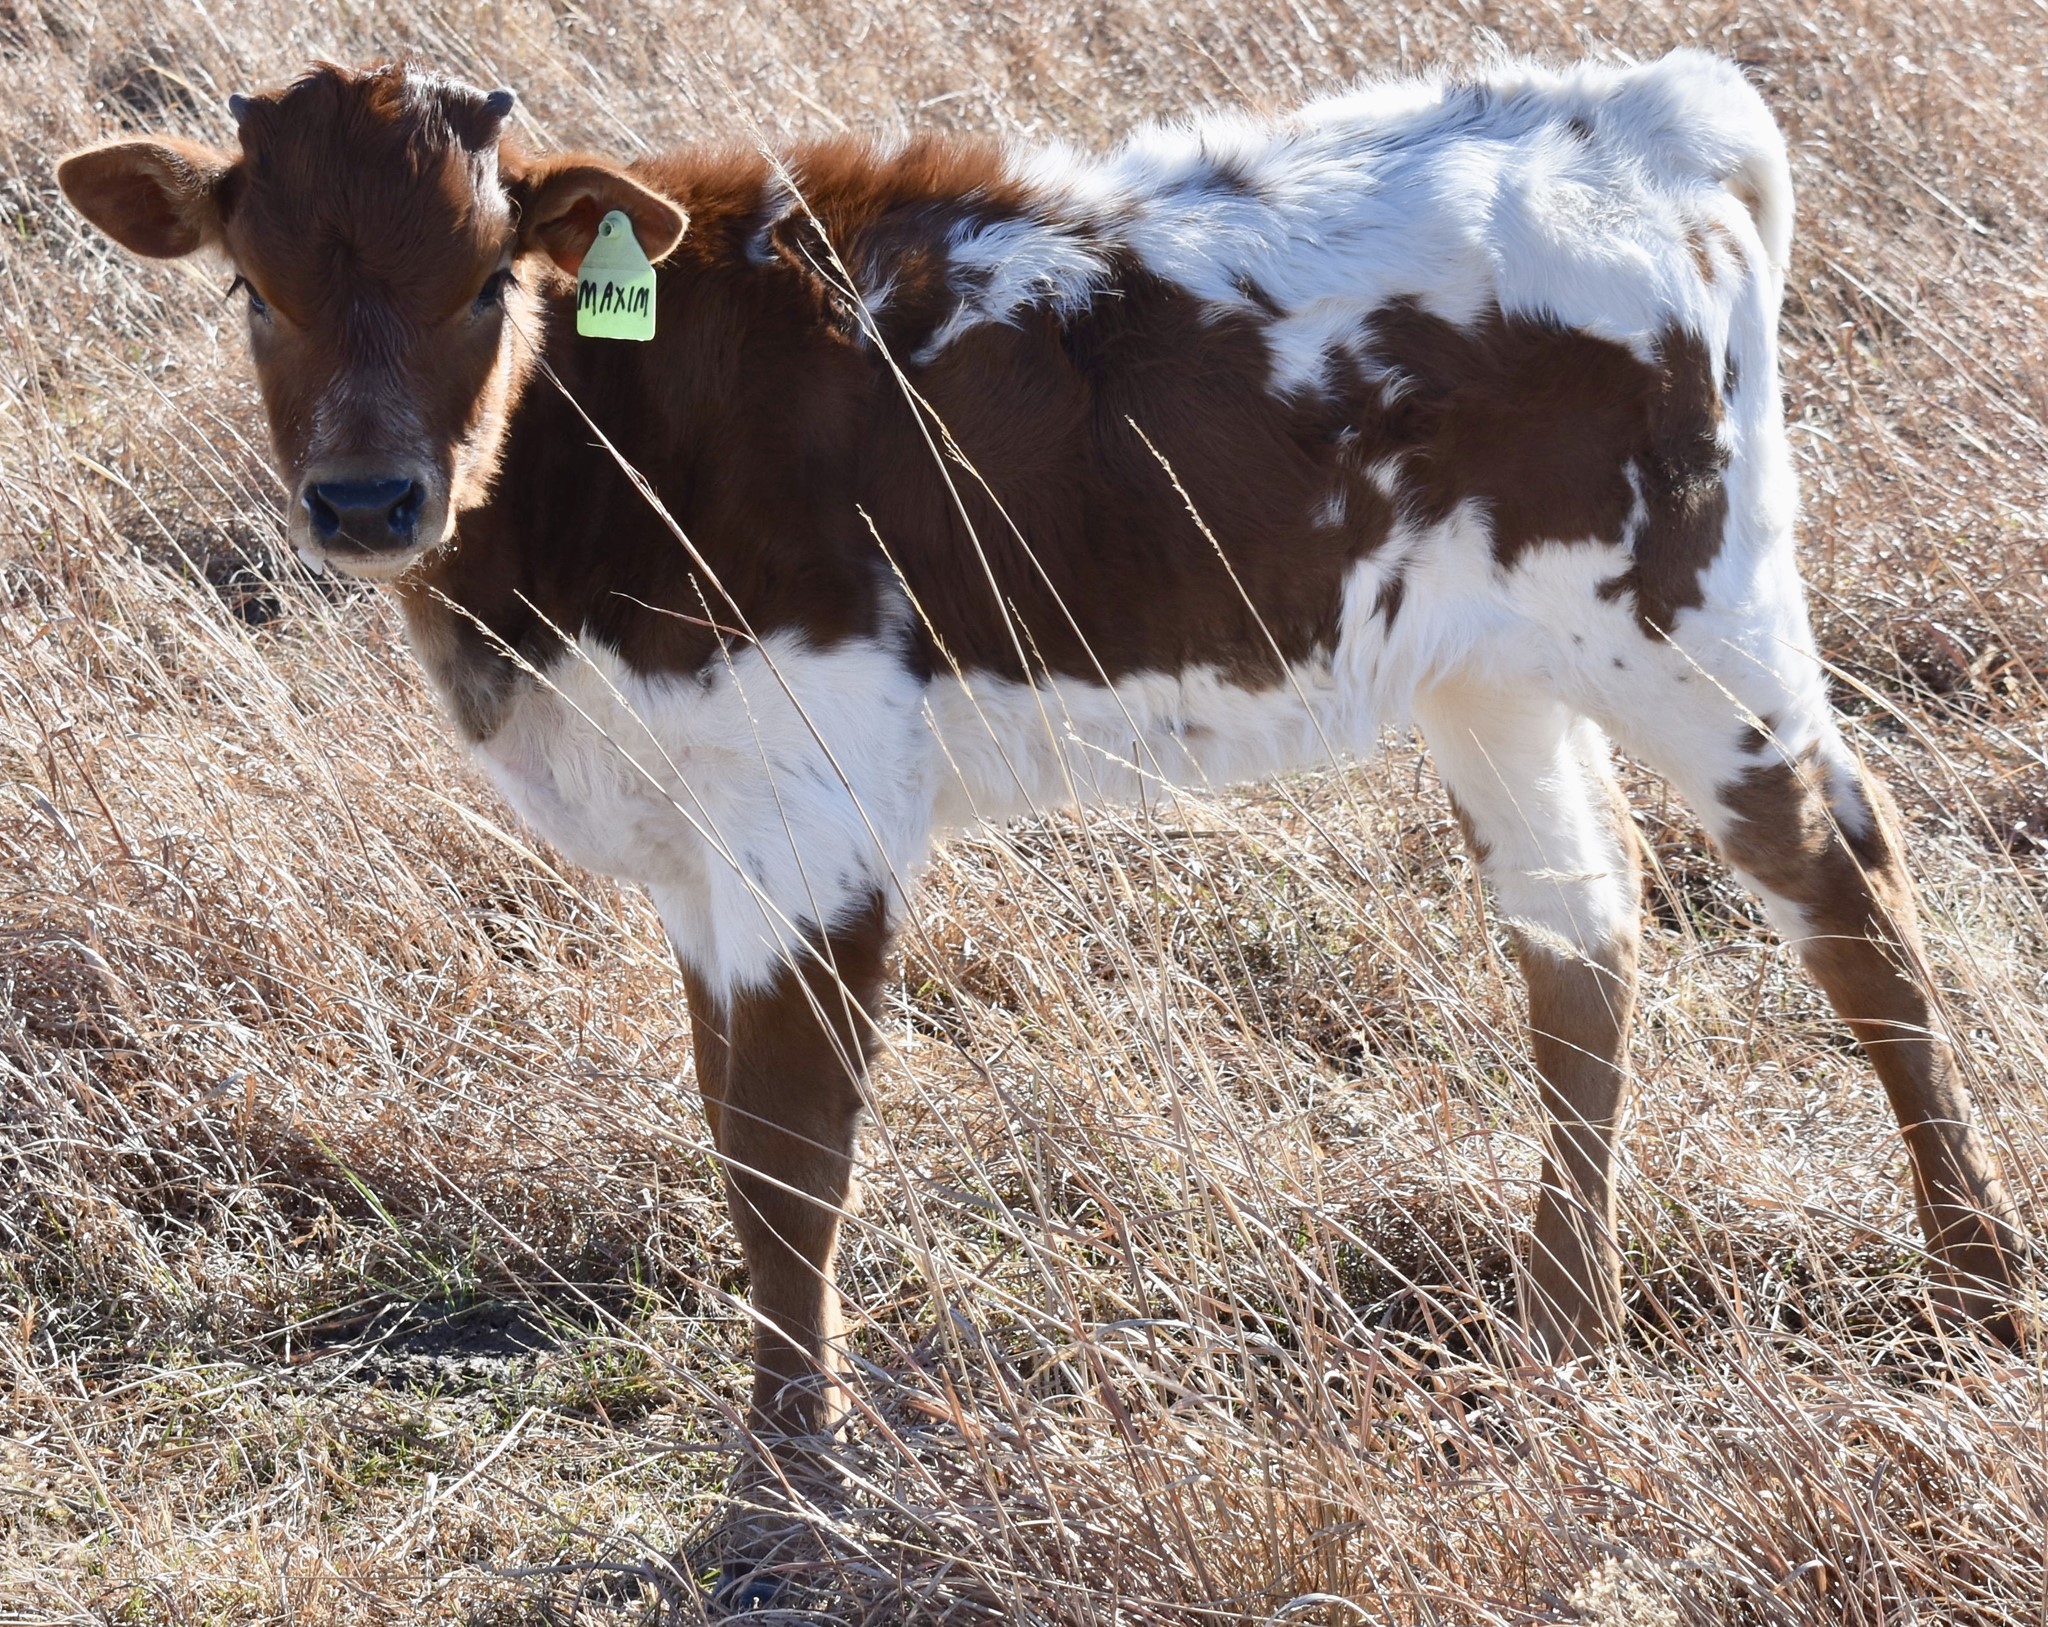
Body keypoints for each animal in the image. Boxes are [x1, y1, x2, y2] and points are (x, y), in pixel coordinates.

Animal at [59, 46, 2029, 1569]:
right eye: (252, 287)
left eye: (488, 281)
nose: (368, 499)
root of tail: (1640, 106)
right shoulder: (696, 826)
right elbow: (730, 1125)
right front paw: (787, 1456)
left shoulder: (815, 793)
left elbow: (789, 1150)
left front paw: (788, 1496)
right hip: (1491, 668)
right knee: (1580, 934)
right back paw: (1559, 1336)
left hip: (1693, 620)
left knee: (1851, 894)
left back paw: (1974, 1290)